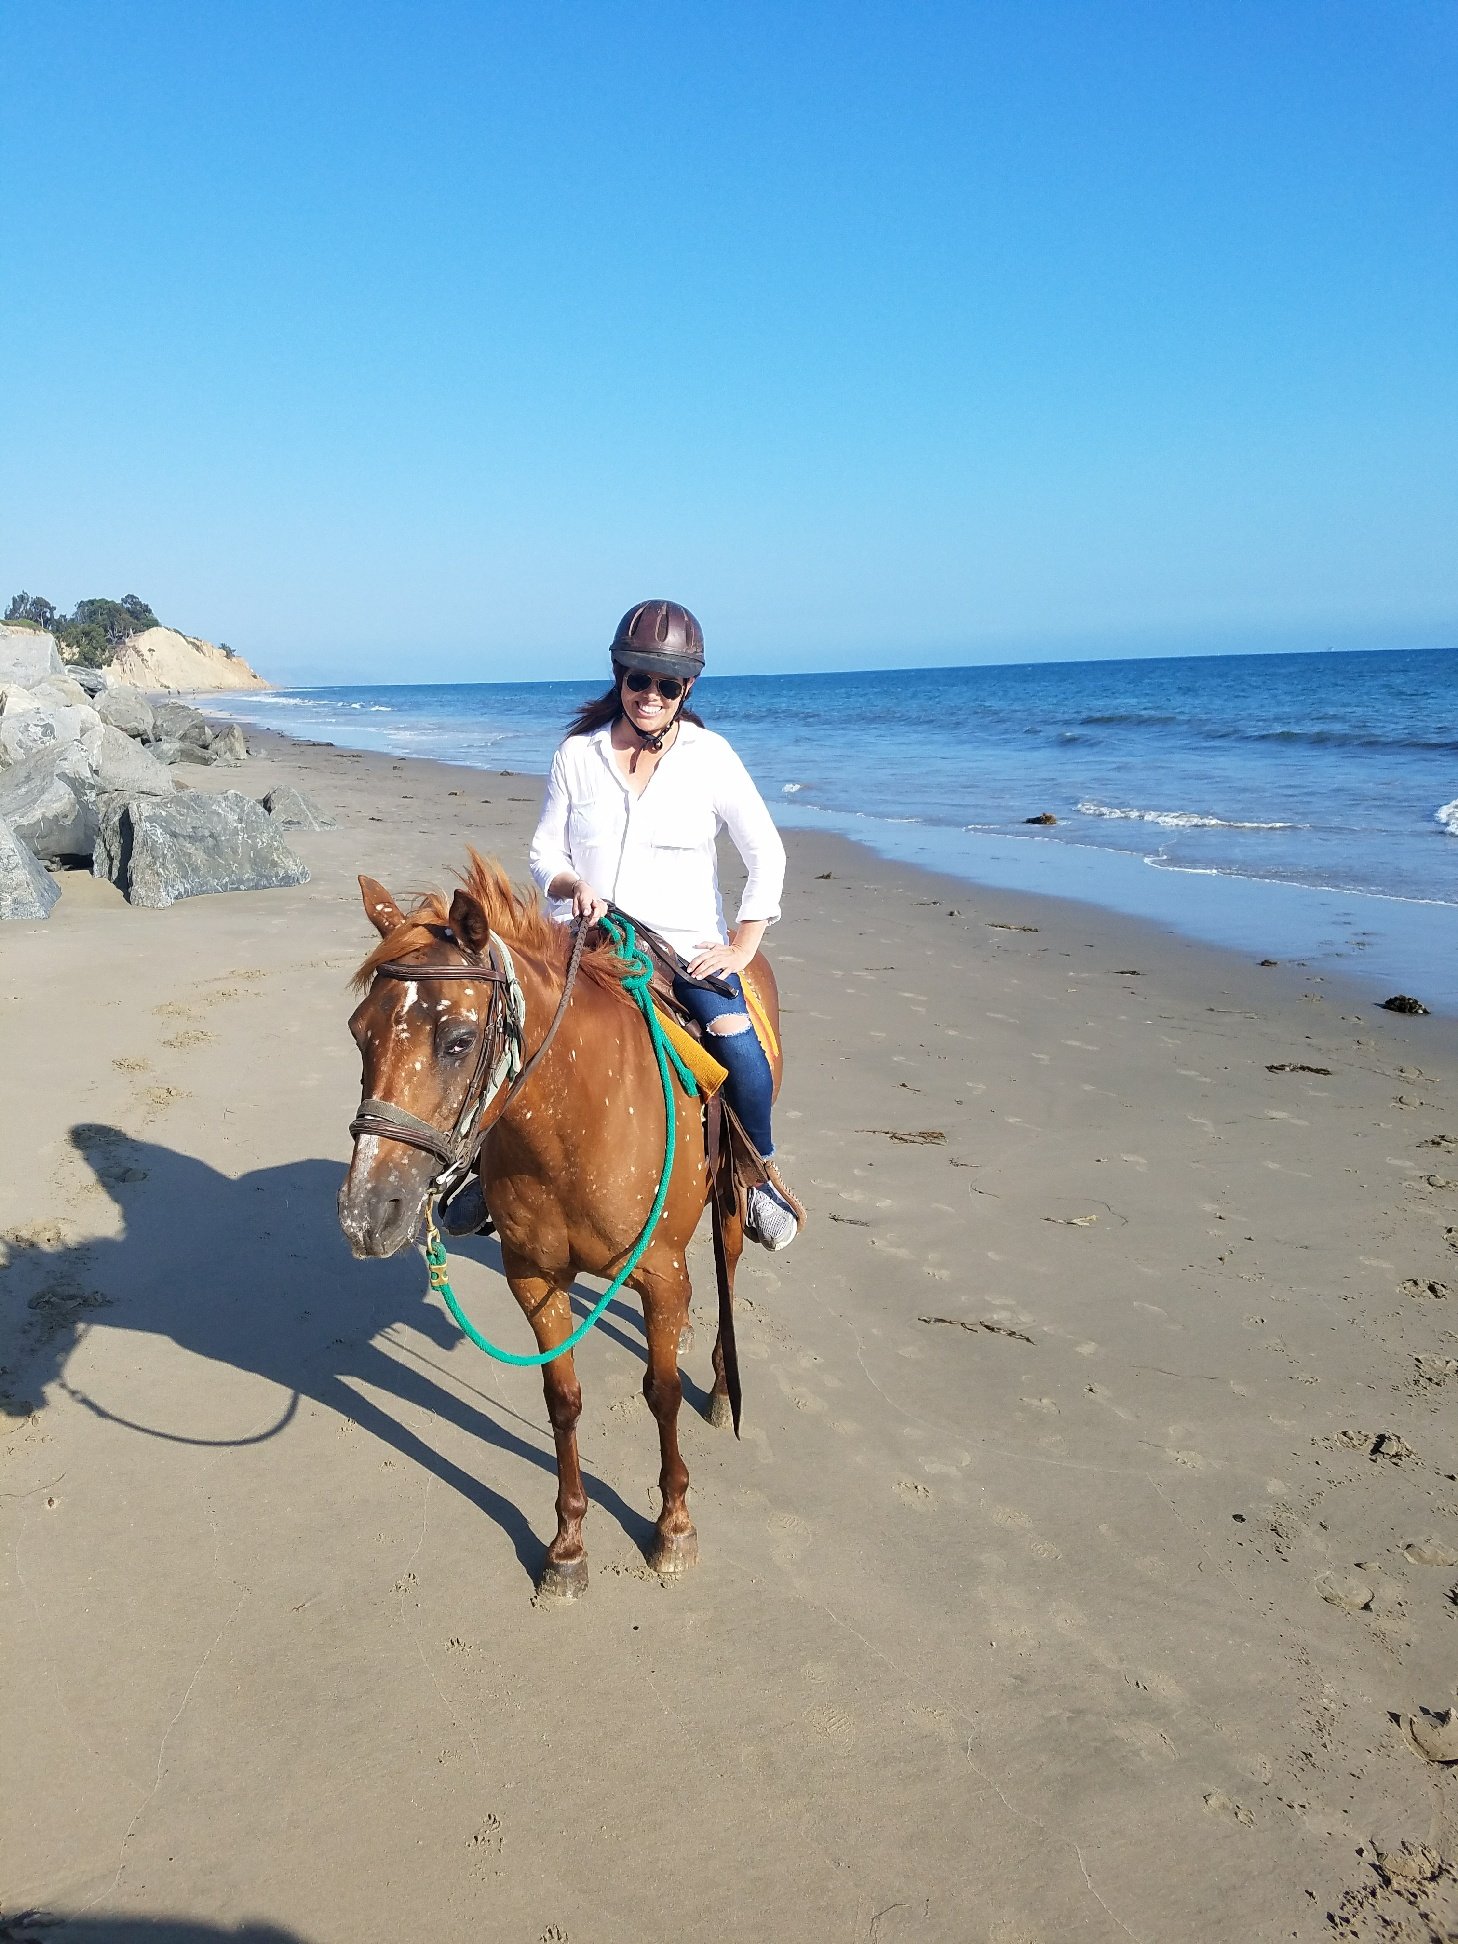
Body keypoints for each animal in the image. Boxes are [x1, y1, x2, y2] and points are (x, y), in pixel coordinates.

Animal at [340, 859, 789, 1601]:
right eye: (358, 1031)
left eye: (459, 1041)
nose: (367, 1213)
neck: (575, 1124)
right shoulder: (534, 1275)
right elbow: (563, 1400)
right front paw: (568, 1546)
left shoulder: (661, 1272)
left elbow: (662, 1393)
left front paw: (673, 1526)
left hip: (728, 1198)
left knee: (725, 1269)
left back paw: (724, 1387)